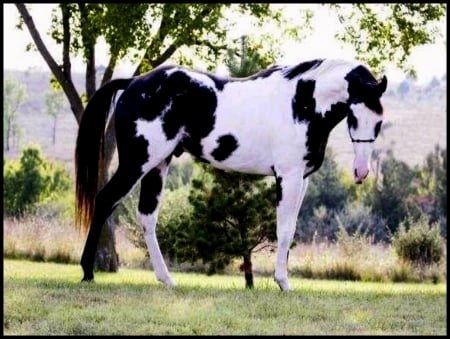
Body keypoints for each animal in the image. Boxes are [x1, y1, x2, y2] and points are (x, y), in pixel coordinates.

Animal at [74, 58, 386, 292]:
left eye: (379, 121)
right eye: (354, 116)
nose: (361, 172)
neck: (300, 103)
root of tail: (133, 82)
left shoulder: (303, 179)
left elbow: (291, 228)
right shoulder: (289, 176)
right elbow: (284, 230)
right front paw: (283, 283)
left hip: (158, 164)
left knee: (147, 217)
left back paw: (167, 279)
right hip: (137, 162)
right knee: (105, 200)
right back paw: (88, 272)